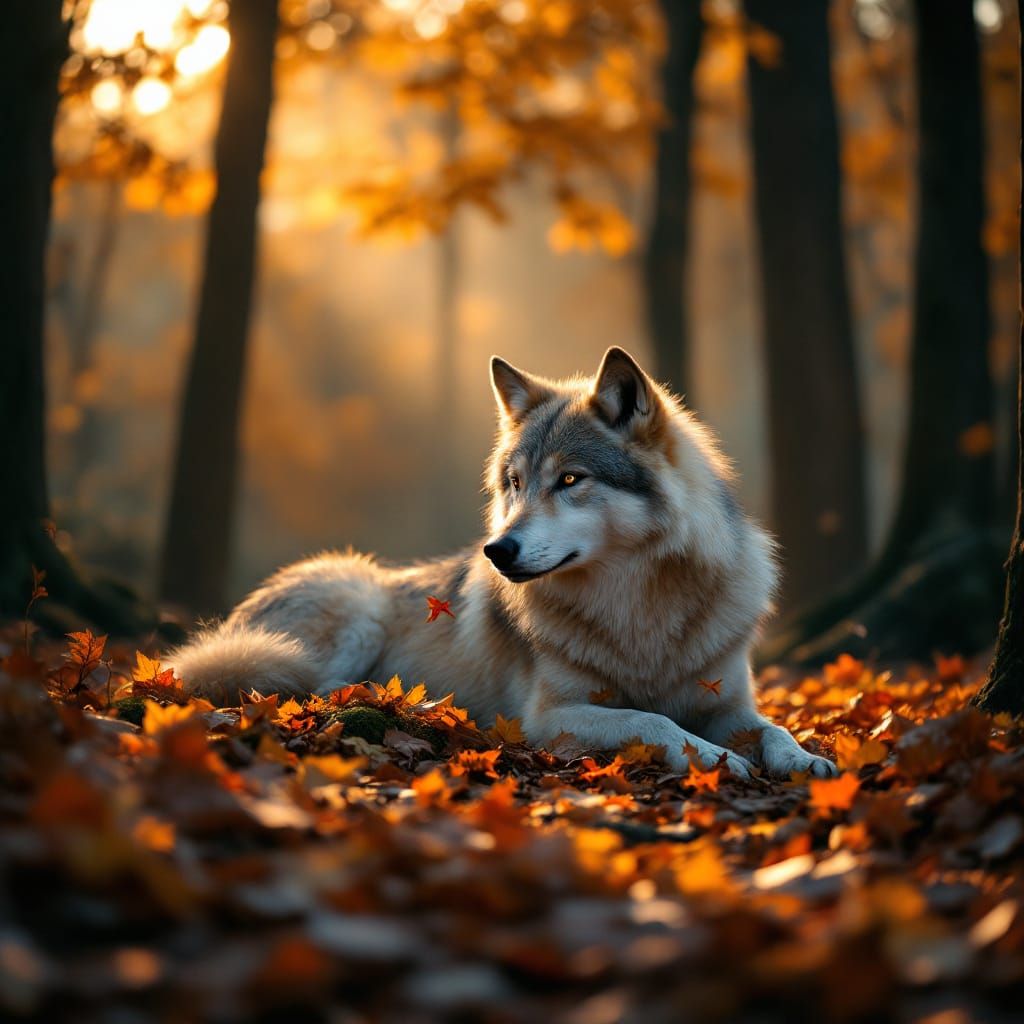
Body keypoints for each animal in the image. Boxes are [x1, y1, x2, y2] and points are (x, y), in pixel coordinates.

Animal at [170, 347, 836, 779]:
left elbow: (774, 726)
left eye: (570, 480)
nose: (496, 551)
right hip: (355, 603)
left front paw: (804, 758)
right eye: (514, 483)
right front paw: (717, 758)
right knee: (306, 685)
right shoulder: (550, 716)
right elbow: (654, 722)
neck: (637, 609)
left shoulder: (729, 703)